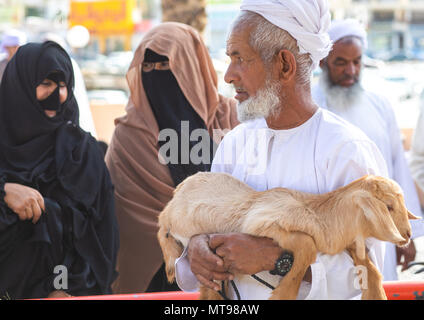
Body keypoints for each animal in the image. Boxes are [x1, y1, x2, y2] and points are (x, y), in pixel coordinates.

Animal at [157, 172, 420, 300]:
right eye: (388, 206)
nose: (407, 234)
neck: (320, 215)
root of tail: (179, 189)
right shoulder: (265, 223)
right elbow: (307, 245)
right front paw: (283, 294)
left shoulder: (345, 241)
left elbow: (368, 264)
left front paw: (376, 293)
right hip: (173, 217)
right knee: (161, 225)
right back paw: (170, 265)